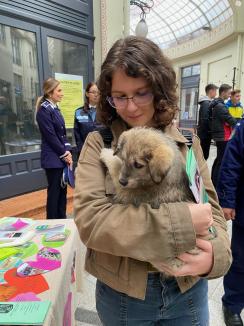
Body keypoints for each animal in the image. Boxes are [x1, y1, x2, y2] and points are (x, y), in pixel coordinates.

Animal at [100, 126, 211, 272]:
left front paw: (105, 153)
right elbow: (117, 165)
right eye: (123, 158)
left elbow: (114, 166)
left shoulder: (126, 192)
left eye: (138, 165)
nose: (122, 181)